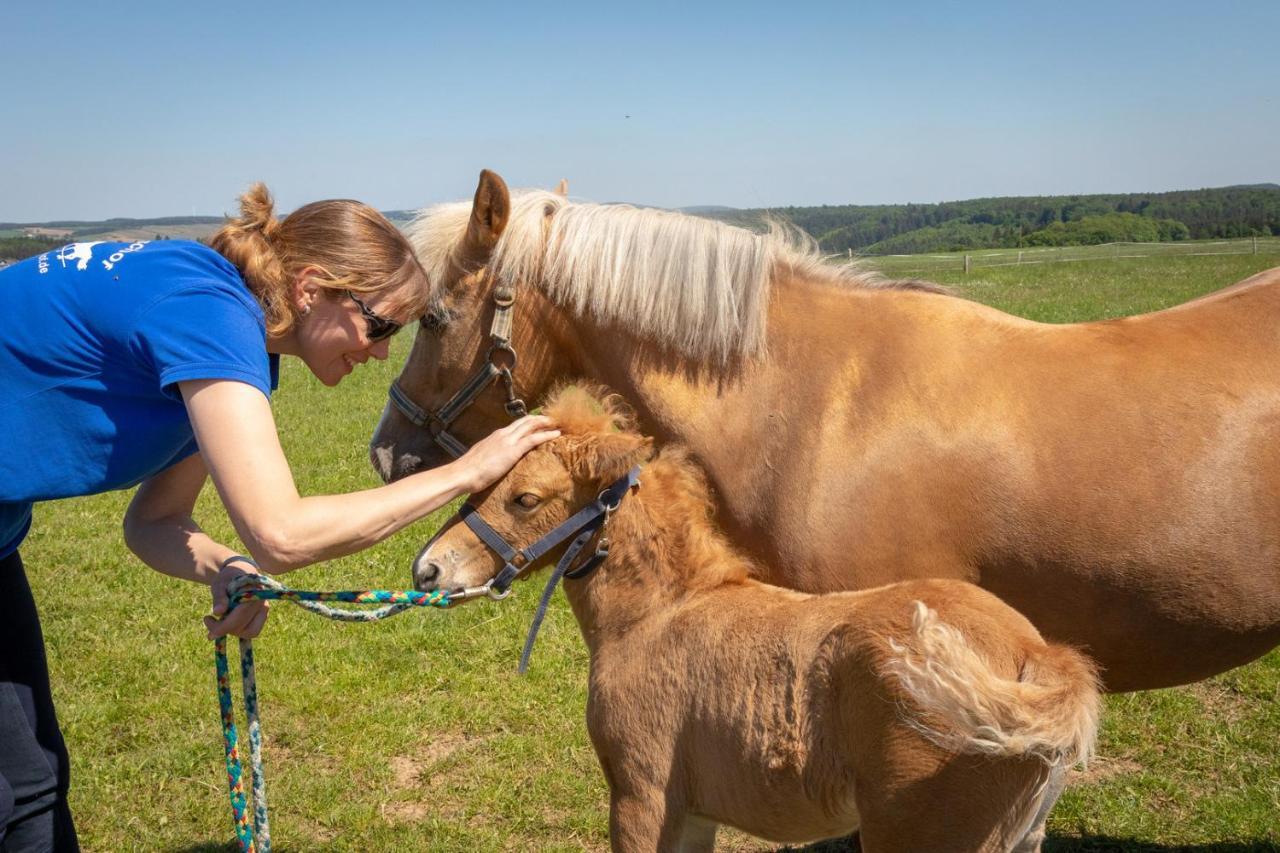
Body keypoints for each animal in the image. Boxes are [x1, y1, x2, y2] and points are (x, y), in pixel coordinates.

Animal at [417, 386, 1100, 850]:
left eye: (524, 498)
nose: (427, 570)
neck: (656, 616)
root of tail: (1038, 655)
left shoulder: (641, 795)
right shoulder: (693, 810)